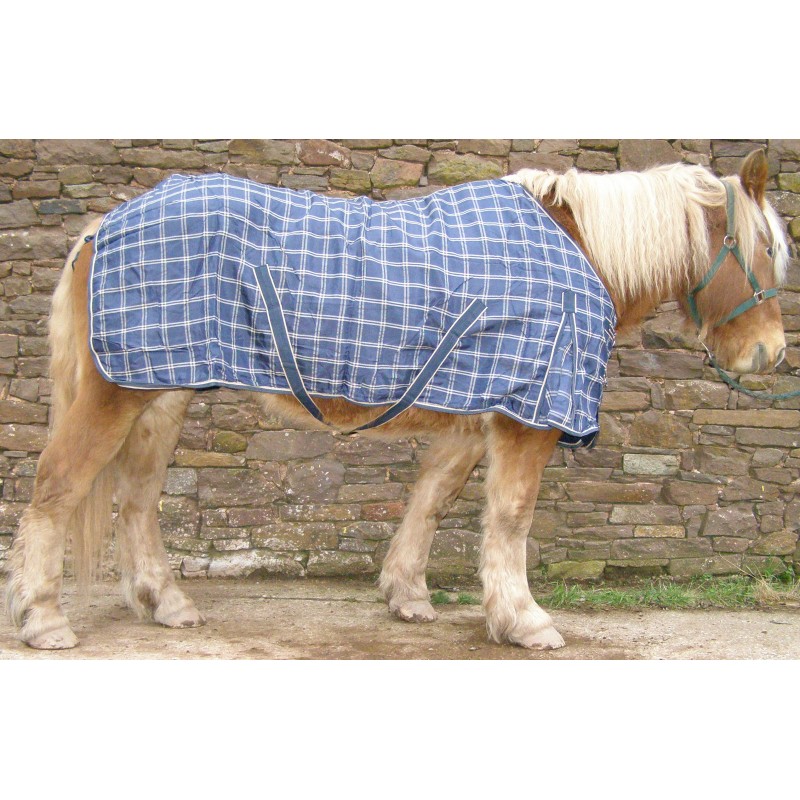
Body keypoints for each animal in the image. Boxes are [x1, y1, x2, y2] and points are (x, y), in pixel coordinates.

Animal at [4, 149, 789, 652]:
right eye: (765, 251)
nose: (771, 353)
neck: (580, 251)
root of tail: (101, 228)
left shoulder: (474, 416)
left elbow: (432, 500)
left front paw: (407, 595)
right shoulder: (525, 418)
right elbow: (511, 517)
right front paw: (524, 620)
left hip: (160, 394)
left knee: (137, 500)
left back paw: (166, 604)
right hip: (115, 396)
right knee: (55, 489)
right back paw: (43, 619)